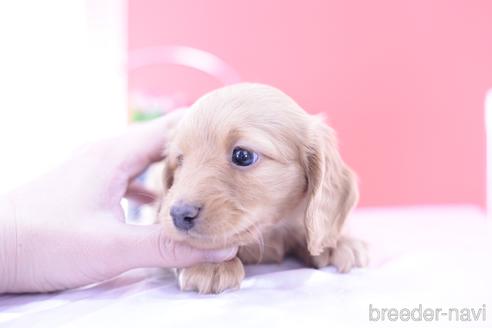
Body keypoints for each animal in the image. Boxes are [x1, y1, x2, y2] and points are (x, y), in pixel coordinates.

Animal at [156, 83, 368, 294]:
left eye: (243, 156)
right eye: (180, 160)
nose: (178, 214)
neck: (271, 233)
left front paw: (337, 242)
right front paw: (209, 264)